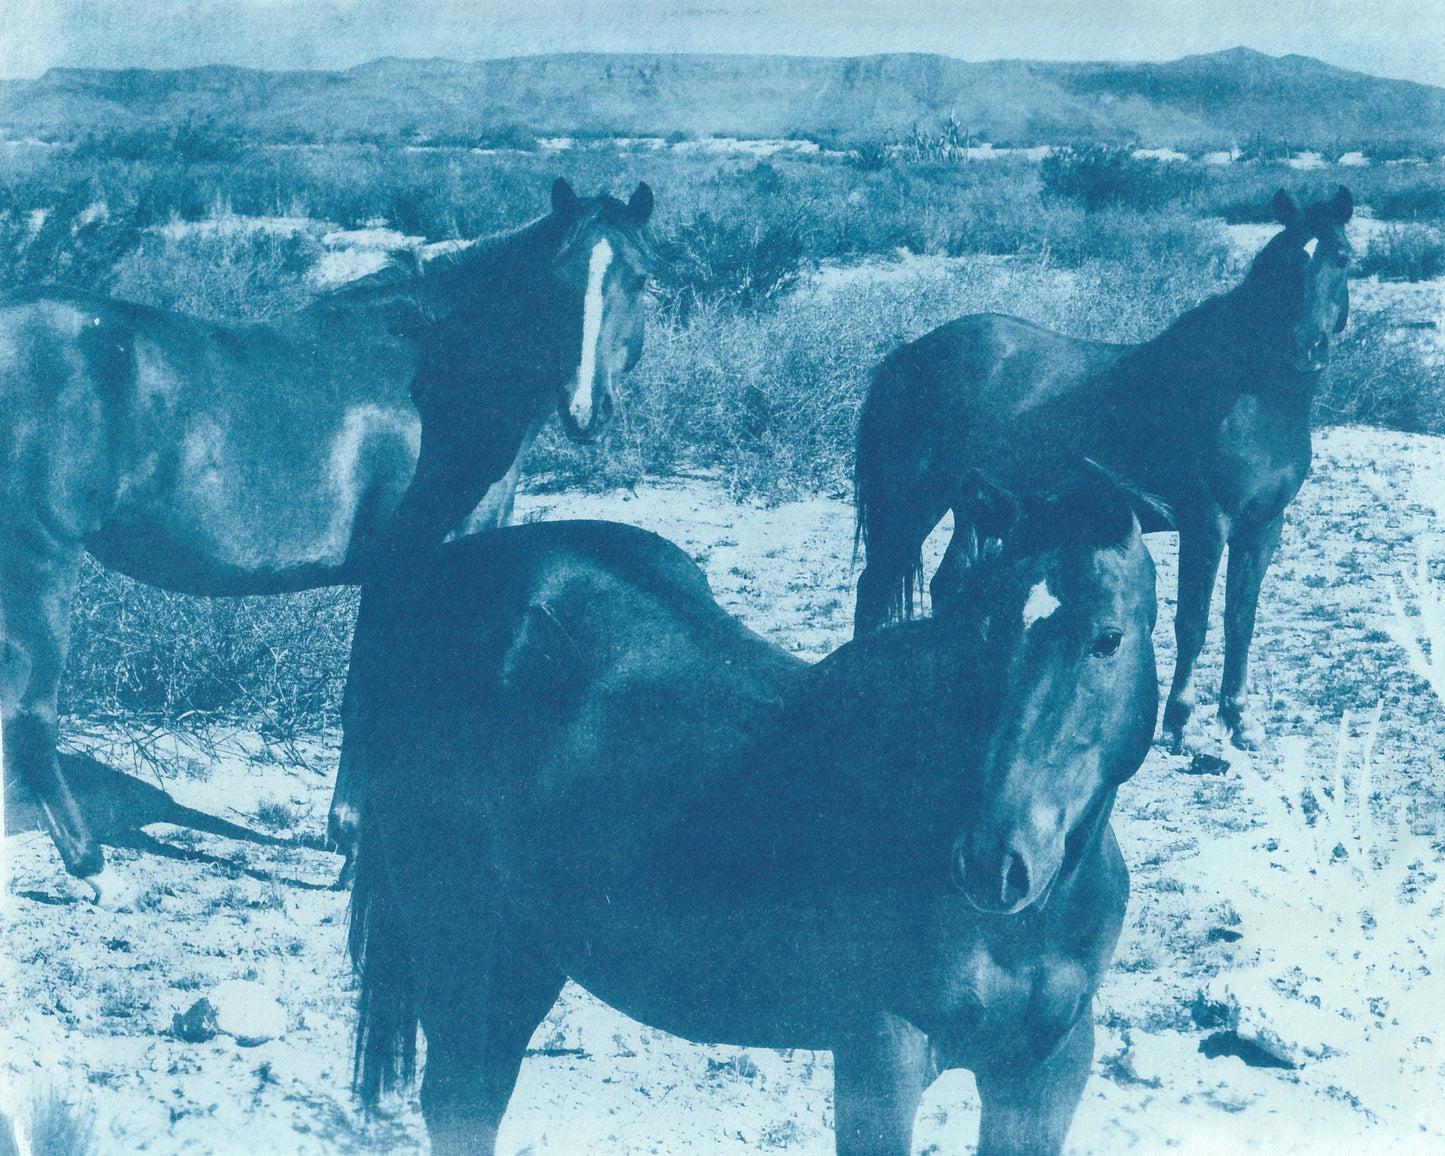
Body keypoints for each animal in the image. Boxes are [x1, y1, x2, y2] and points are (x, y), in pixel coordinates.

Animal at [0, 177, 657, 894]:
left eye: (641, 279)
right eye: (559, 280)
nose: (585, 410)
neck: (438, 377)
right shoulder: (405, 570)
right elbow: (373, 694)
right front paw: (355, 846)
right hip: (41, 562)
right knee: (31, 715)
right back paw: (92, 869)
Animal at [344, 467, 1160, 1156]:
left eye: (1108, 638)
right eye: (982, 634)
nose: (994, 862)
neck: (1030, 923)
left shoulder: (1043, 1071)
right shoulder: (880, 1055)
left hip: (528, 948)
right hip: (464, 941)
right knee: (458, 1100)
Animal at [853, 186, 1353, 755]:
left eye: (1341, 257)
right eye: (1286, 261)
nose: (1307, 346)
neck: (1249, 393)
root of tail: (907, 356)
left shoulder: (1263, 526)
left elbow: (1240, 620)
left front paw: (1240, 719)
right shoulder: (1207, 524)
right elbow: (1194, 621)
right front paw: (1181, 722)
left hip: (973, 506)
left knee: (948, 584)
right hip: (912, 506)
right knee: (873, 588)